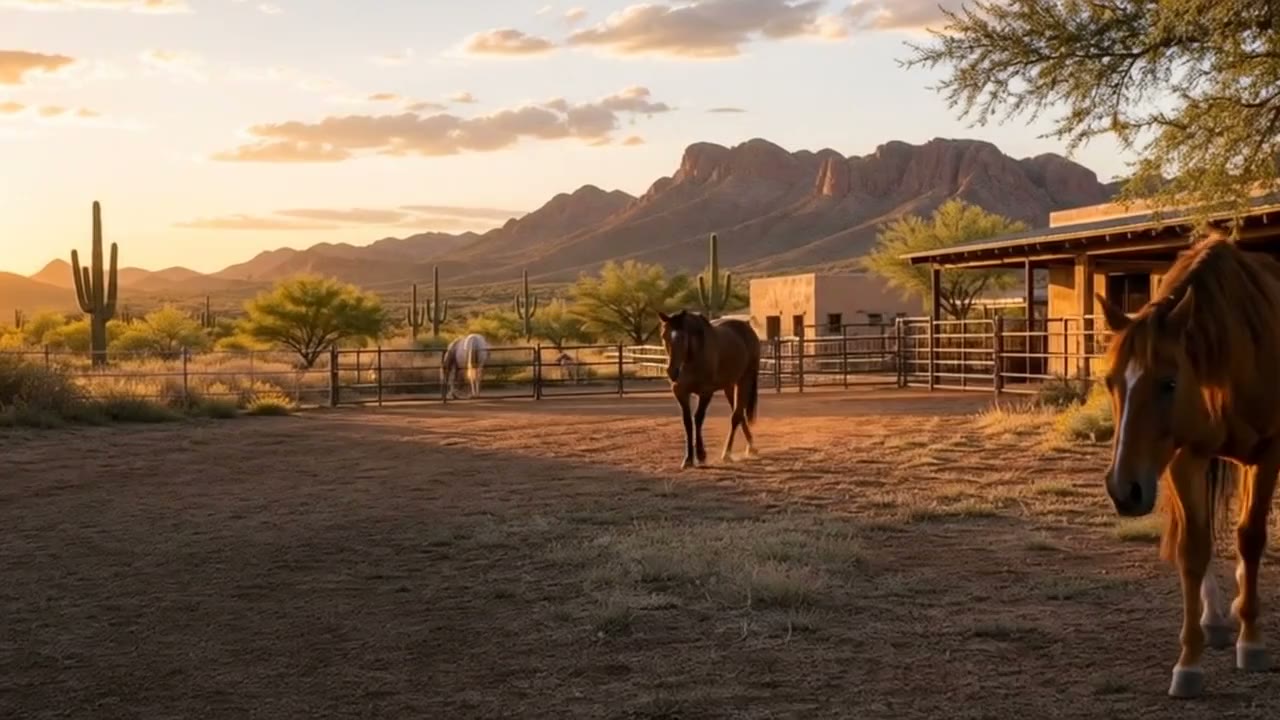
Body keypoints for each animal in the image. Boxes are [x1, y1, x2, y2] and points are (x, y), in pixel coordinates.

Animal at [656, 310, 761, 469]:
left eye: (683, 337)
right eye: (663, 335)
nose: (672, 372)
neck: (691, 359)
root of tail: (747, 328)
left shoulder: (705, 393)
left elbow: (698, 419)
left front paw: (701, 455)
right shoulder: (681, 393)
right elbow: (687, 422)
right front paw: (688, 459)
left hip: (745, 380)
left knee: (736, 417)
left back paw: (727, 454)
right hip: (729, 386)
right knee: (739, 414)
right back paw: (751, 447)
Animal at [1096, 231, 1280, 699]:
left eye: (1168, 383)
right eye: (1109, 382)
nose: (1123, 489)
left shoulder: (1268, 455)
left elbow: (1251, 538)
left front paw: (1252, 642)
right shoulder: (1186, 458)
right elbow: (1194, 548)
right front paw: (1189, 663)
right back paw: (1215, 616)